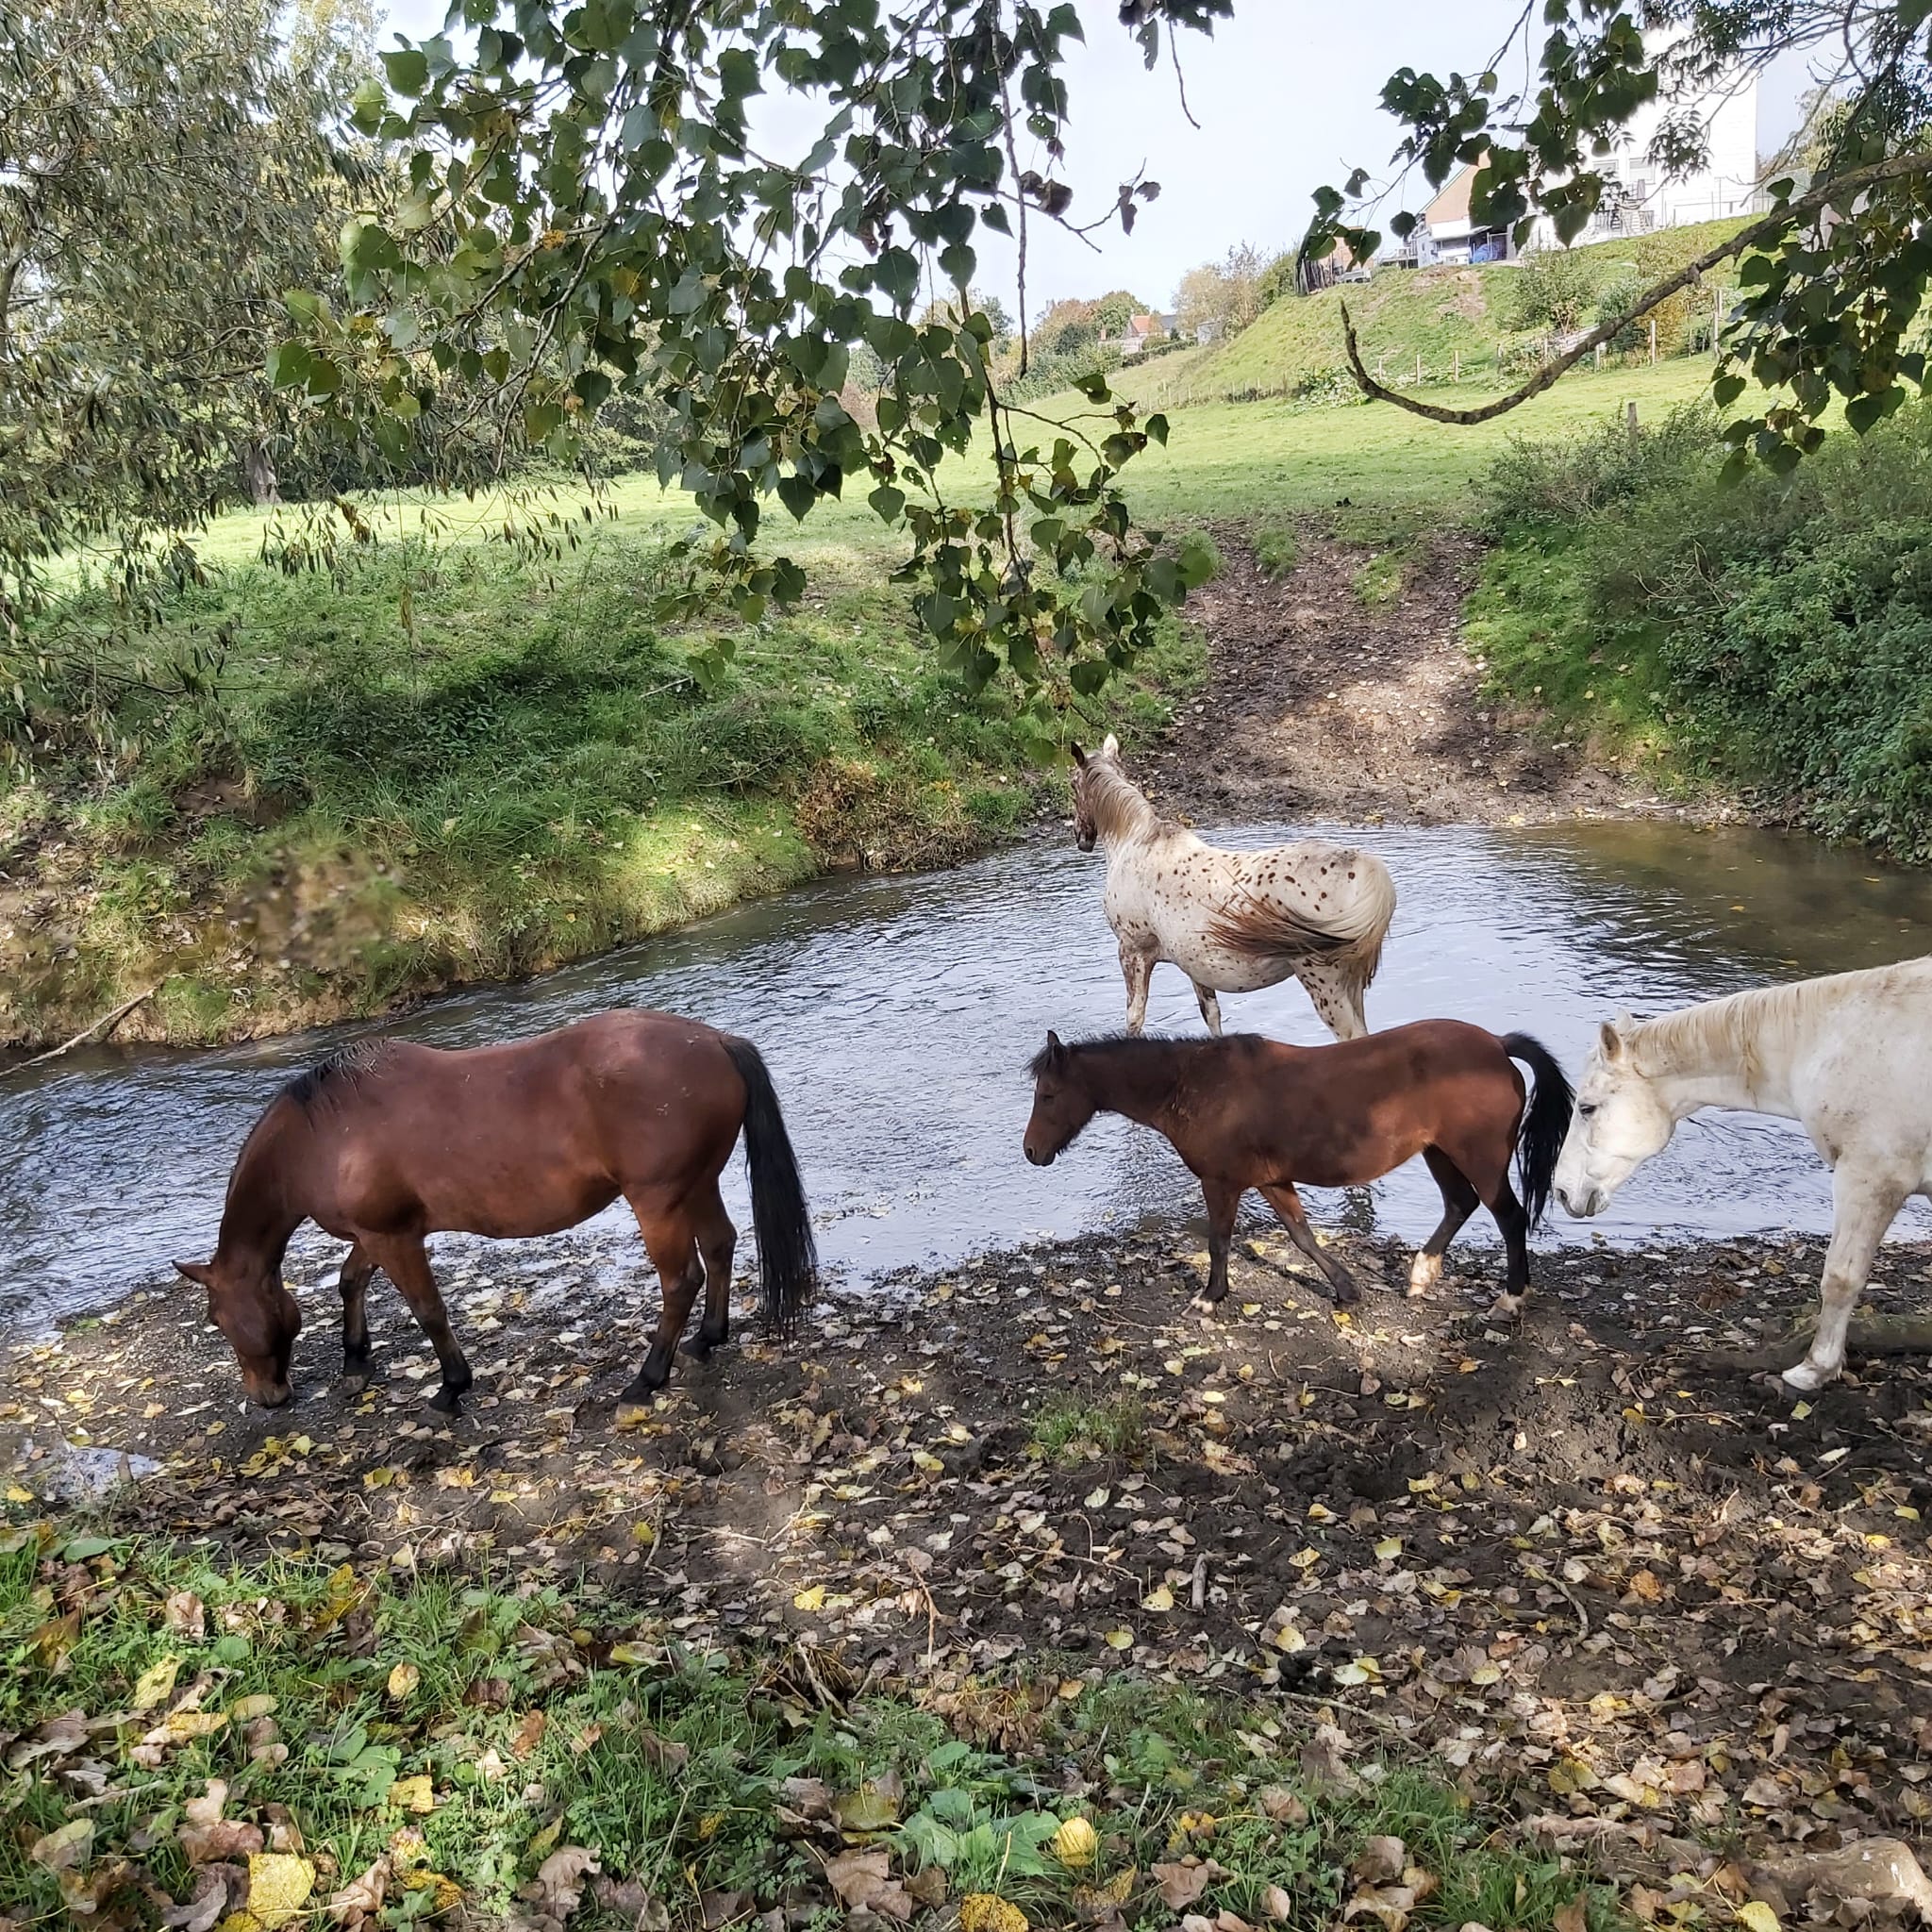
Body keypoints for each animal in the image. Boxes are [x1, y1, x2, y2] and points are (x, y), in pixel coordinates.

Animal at [172, 1010, 816, 1413]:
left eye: (216, 1319)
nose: (267, 1397)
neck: (323, 1136)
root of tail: (716, 1042)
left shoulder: (394, 1236)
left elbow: (428, 1311)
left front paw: (451, 1388)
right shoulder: (377, 1233)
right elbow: (350, 1281)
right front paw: (356, 1360)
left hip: (658, 1200)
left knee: (681, 1280)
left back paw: (646, 1380)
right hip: (696, 1185)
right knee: (721, 1245)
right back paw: (707, 1339)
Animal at [1023, 1022, 1573, 1317]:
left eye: (1047, 1095)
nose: (1031, 1152)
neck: (1194, 1084)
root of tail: (1497, 1044)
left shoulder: (1222, 1183)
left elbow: (1219, 1241)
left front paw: (1210, 1297)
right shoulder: (1271, 1179)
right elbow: (1302, 1235)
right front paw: (1346, 1289)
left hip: (1480, 1157)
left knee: (1509, 1217)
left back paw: (1510, 1299)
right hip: (1439, 1153)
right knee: (1460, 1205)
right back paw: (1420, 1275)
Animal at [1069, 735, 1396, 1041]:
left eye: (1073, 785)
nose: (1081, 838)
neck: (1137, 842)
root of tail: (1361, 865)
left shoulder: (1132, 951)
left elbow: (1134, 1018)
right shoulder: (1193, 965)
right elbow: (1211, 1014)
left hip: (1323, 981)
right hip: (1351, 984)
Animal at [1554, 956, 1932, 1391]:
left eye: (1587, 1108)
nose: (1562, 1191)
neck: (1836, 1040)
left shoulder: (1870, 1178)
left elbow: (1840, 1279)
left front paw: (1814, 1369)